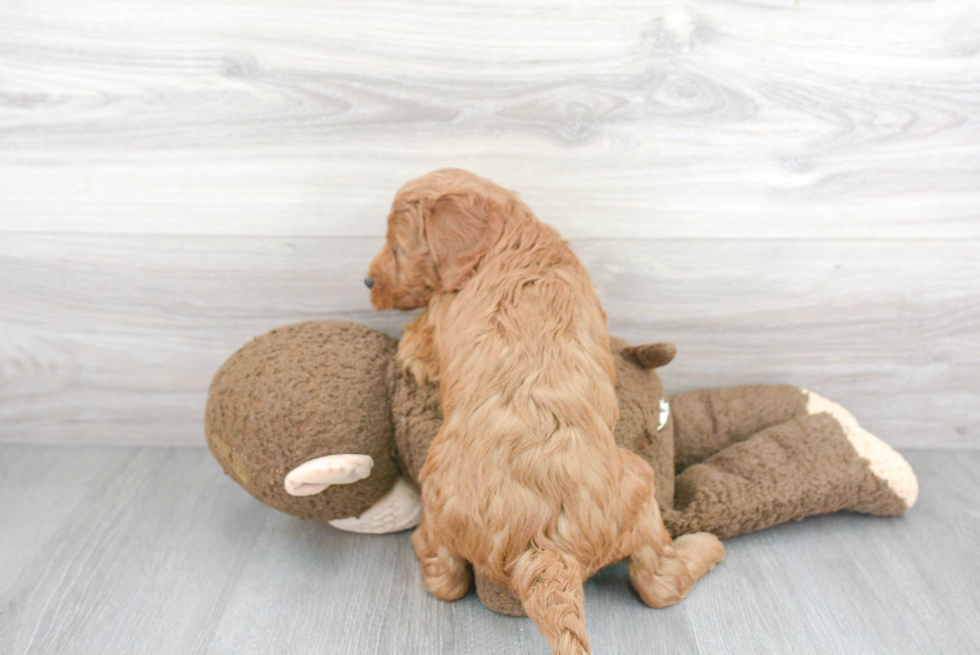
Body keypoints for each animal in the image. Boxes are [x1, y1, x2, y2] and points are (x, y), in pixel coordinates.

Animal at [366, 170, 720, 655]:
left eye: (398, 248)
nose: (368, 282)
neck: (511, 239)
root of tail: (542, 548)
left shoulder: (439, 309)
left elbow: (415, 337)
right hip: (639, 484)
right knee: (659, 582)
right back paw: (707, 547)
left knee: (447, 577)